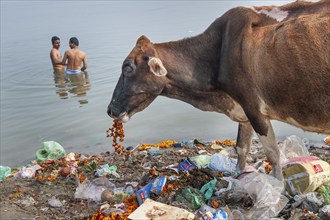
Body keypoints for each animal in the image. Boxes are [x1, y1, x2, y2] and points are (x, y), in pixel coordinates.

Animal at [107, 0, 328, 180]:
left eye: (127, 67)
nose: (110, 109)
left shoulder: (253, 107)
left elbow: (273, 154)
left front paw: (278, 187)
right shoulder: (243, 110)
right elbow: (241, 148)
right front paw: (238, 177)